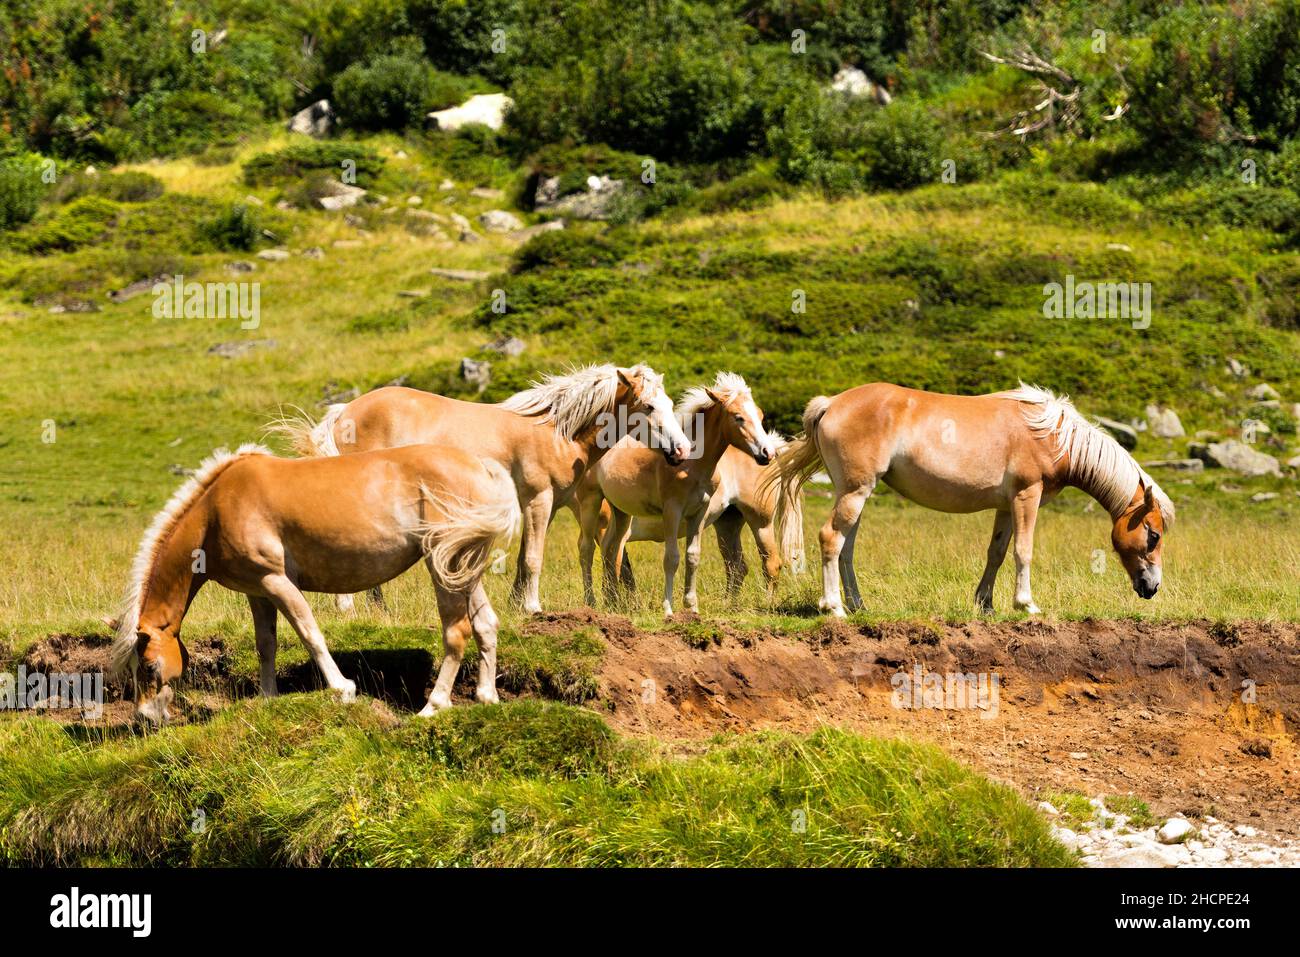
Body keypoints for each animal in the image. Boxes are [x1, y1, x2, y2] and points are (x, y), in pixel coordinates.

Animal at [110, 444, 517, 722]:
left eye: (148, 666)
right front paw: (267, 697)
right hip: (463, 569)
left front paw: (342, 689)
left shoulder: (277, 582)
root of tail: (479, 466)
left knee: (456, 631)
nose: (144, 717)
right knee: (485, 624)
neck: (214, 513)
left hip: (443, 564)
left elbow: (310, 634)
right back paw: (486, 695)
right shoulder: (258, 593)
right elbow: (266, 645)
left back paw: (433, 706)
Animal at [276, 361, 691, 616]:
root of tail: (344, 413)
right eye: (649, 407)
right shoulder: (539, 499)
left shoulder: (545, 505)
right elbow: (534, 558)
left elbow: (524, 558)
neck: (555, 430)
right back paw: (349, 607)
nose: (682, 450)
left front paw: (517, 605)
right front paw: (533, 608)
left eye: (670, 402)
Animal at [574, 369, 774, 616]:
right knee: (587, 549)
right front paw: (668, 609)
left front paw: (692, 607)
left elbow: (692, 556)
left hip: (621, 512)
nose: (767, 453)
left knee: (610, 550)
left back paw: (612, 604)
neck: (692, 464)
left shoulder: (699, 513)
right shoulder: (672, 510)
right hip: (590, 502)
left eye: (760, 415)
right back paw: (591, 603)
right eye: (738, 417)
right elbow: (671, 558)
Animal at [769, 382, 1180, 616]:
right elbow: (1023, 551)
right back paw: (834, 608)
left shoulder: (1006, 506)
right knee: (830, 539)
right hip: (855, 492)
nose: (1152, 587)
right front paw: (1026, 604)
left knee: (846, 549)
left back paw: (857, 606)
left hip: (855, 494)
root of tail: (831, 403)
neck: (1052, 435)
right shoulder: (1026, 497)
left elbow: (996, 552)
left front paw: (985, 604)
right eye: (1153, 535)